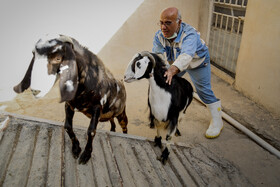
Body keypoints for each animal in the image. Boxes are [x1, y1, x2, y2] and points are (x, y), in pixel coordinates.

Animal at [14, 34, 128, 164]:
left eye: (58, 58)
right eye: (34, 54)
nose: (36, 89)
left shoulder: (97, 107)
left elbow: (91, 131)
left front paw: (86, 155)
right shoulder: (69, 105)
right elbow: (67, 126)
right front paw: (76, 149)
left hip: (121, 114)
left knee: (124, 126)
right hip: (108, 114)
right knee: (111, 120)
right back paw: (112, 130)